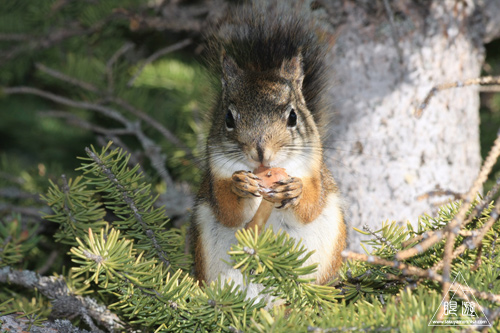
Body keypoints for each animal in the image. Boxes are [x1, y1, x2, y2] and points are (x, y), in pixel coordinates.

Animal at [189, 2, 346, 298]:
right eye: (228, 118)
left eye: (293, 117)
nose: (261, 152)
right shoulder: (215, 178)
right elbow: (227, 211)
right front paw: (239, 185)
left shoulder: (315, 173)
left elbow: (310, 206)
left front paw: (294, 191)